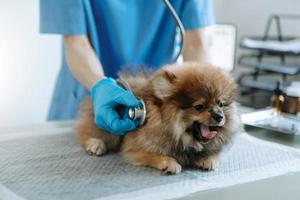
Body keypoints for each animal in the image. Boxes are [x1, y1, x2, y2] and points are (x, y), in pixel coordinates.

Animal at [76, 62, 243, 173]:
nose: (220, 116)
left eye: (221, 104)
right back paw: (95, 144)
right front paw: (169, 162)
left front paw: (208, 159)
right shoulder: (135, 149)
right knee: (86, 133)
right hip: (111, 129)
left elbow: (213, 154)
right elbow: (155, 155)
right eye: (199, 107)